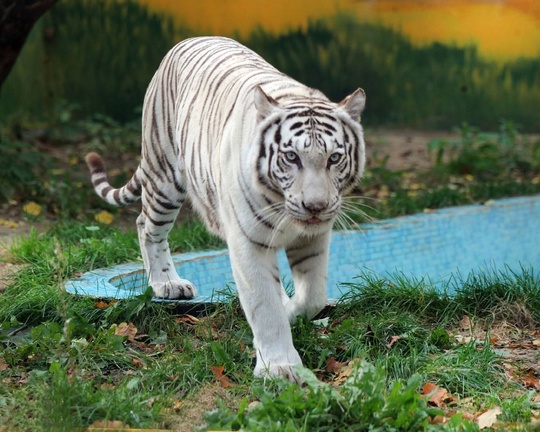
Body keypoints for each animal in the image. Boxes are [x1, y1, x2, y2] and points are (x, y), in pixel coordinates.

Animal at [86, 36, 364, 382]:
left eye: (334, 158)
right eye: (291, 157)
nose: (316, 206)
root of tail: (189, 40)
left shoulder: (313, 238)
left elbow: (312, 297)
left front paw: (291, 310)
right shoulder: (249, 242)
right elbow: (264, 308)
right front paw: (279, 367)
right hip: (164, 177)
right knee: (146, 226)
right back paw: (167, 284)